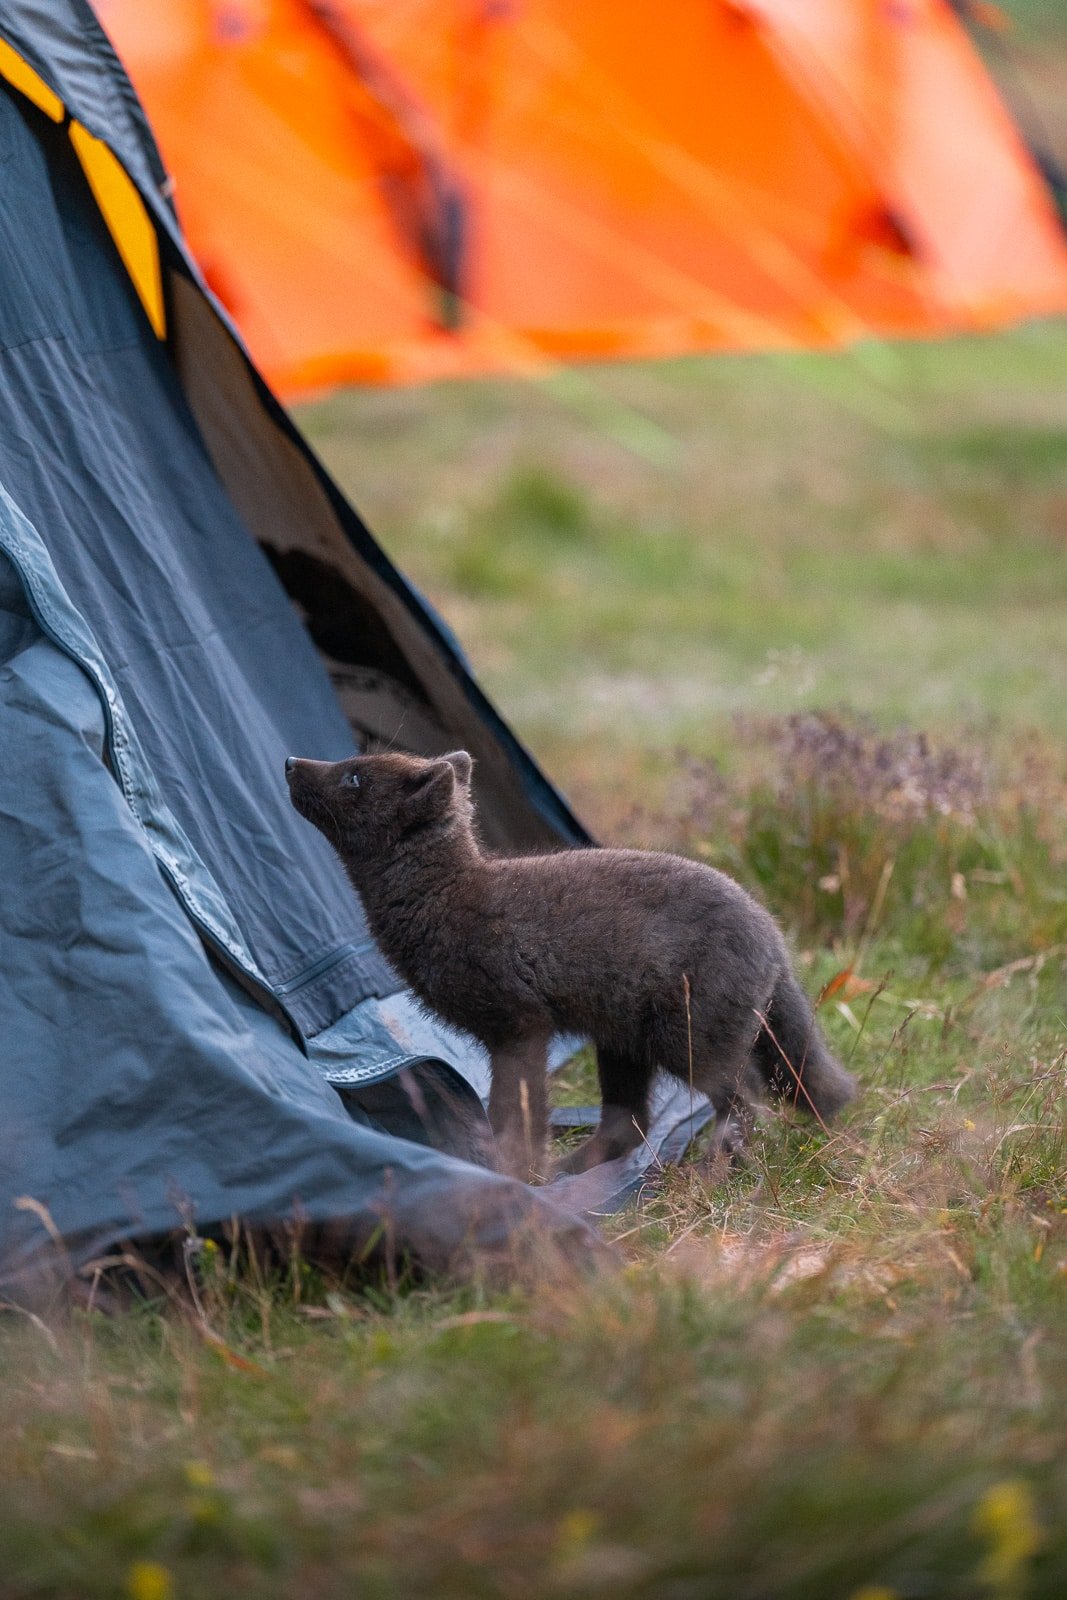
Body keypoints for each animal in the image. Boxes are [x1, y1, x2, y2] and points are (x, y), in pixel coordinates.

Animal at [286, 750, 856, 1181]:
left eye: (355, 776)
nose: (290, 761)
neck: (444, 895)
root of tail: (774, 939)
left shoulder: (519, 1028)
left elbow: (514, 1117)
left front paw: (514, 1177)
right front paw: (525, 1176)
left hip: (691, 1043)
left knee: (744, 1103)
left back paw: (712, 1173)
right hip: (624, 1043)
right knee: (631, 1126)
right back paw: (571, 1173)